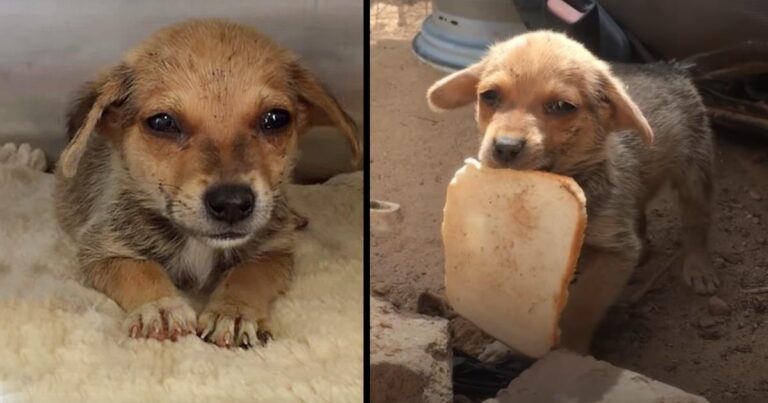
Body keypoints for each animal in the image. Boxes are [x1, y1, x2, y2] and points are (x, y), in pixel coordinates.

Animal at [54, 19, 360, 348]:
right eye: (162, 122)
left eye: (276, 119)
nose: (232, 204)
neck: (199, 243)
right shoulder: (102, 249)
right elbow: (141, 269)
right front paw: (161, 307)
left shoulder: (275, 252)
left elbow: (247, 274)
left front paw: (234, 311)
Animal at [428, 30, 716, 356]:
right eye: (489, 96)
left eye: (562, 106)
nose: (505, 147)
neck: (574, 177)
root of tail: (670, 68)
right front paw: (503, 346)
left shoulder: (614, 253)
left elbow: (582, 306)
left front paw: (570, 351)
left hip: (695, 171)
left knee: (697, 223)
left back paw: (698, 267)